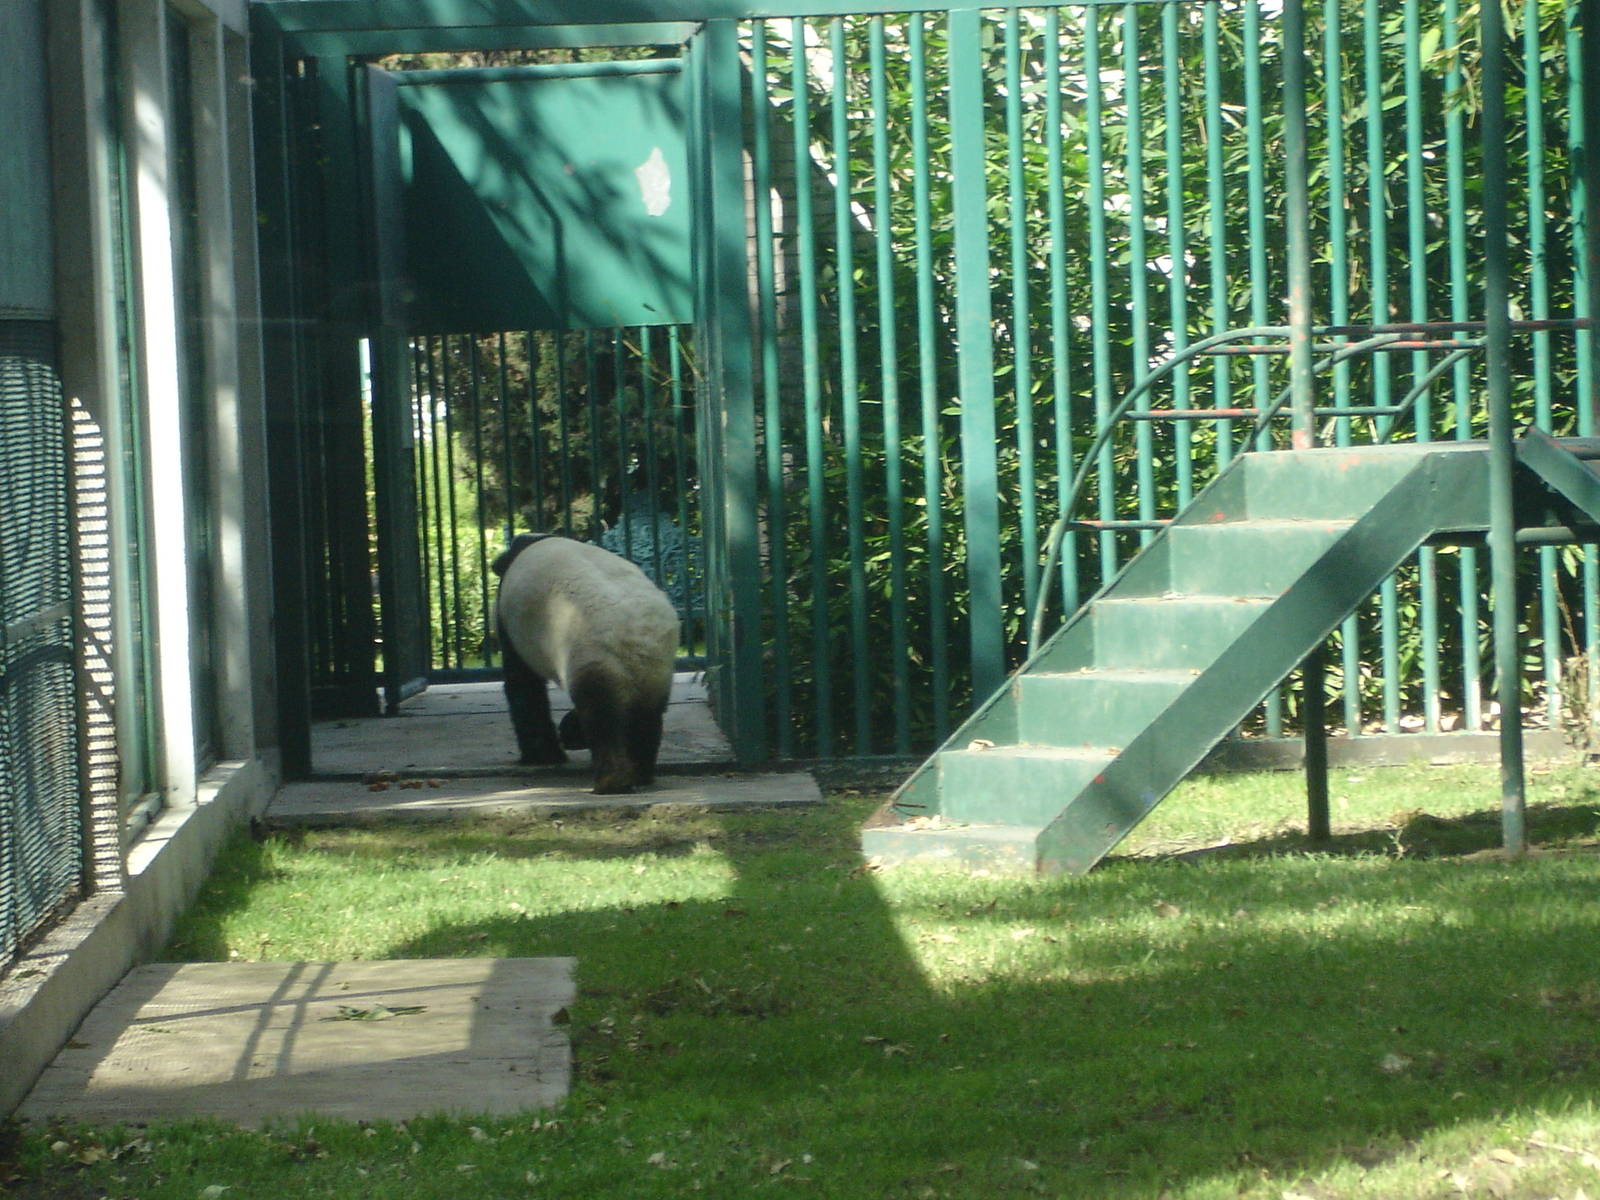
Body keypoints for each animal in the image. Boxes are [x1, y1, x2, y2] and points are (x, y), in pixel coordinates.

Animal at [491, 533, 680, 794]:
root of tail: (638, 634)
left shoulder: (511, 624)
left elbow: (523, 686)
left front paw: (544, 755)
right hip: (657, 668)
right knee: (646, 717)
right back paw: (640, 774)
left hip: (591, 648)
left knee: (601, 716)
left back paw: (611, 781)